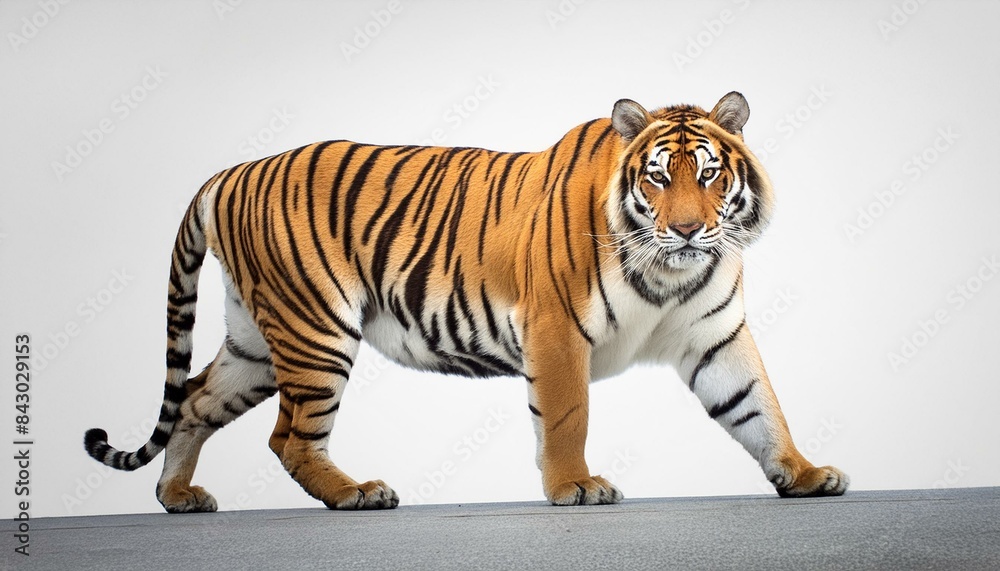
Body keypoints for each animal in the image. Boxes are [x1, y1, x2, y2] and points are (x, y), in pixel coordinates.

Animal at [84, 91, 848, 512]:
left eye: (710, 175)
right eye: (659, 178)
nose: (688, 229)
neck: (668, 273)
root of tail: (230, 170)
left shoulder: (715, 335)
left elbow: (759, 407)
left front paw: (806, 474)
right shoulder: (556, 329)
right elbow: (567, 417)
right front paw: (576, 487)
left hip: (257, 340)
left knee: (194, 399)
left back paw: (178, 497)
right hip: (314, 329)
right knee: (288, 435)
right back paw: (356, 493)